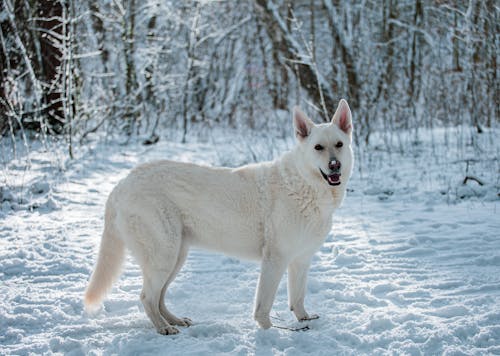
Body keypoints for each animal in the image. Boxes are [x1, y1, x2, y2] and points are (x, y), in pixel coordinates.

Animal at [84, 99, 354, 334]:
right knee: (147, 297)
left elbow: (297, 297)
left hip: (175, 258)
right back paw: (164, 328)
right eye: (318, 148)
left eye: (339, 144)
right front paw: (269, 331)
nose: (334, 165)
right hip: (164, 257)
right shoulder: (275, 259)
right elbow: (263, 305)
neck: (306, 186)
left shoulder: (301, 260)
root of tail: (122, 183)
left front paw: (304, 320)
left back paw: (175, 320)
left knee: (159, 297)